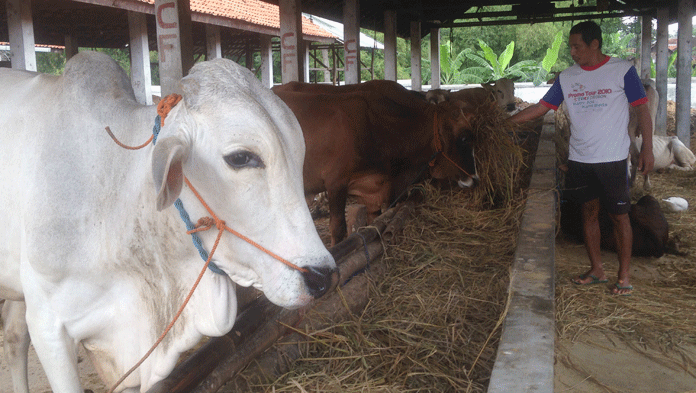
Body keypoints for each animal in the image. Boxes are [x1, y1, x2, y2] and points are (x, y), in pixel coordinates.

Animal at [274, 85, 482, 245]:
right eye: (465, 138)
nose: (475, 179)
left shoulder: (375, 190)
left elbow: (372, 223)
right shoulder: (336, 183)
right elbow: (338, 229)